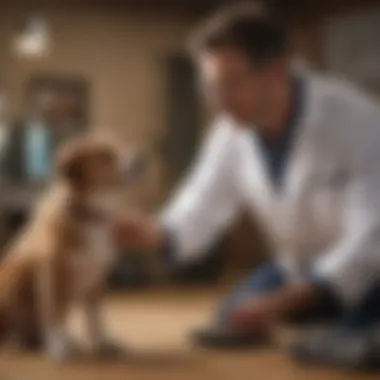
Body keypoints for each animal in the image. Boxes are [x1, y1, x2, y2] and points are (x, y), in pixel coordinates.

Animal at [0, 135, 140, 360]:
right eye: (105, 155)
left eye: (122, 144)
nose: (141, 159)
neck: (88, 214)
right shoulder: (53, 273)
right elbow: (55, 312)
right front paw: (60, 346)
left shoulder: (97, 277)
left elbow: (96, 318)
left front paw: (103, 344)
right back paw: (21, 341)